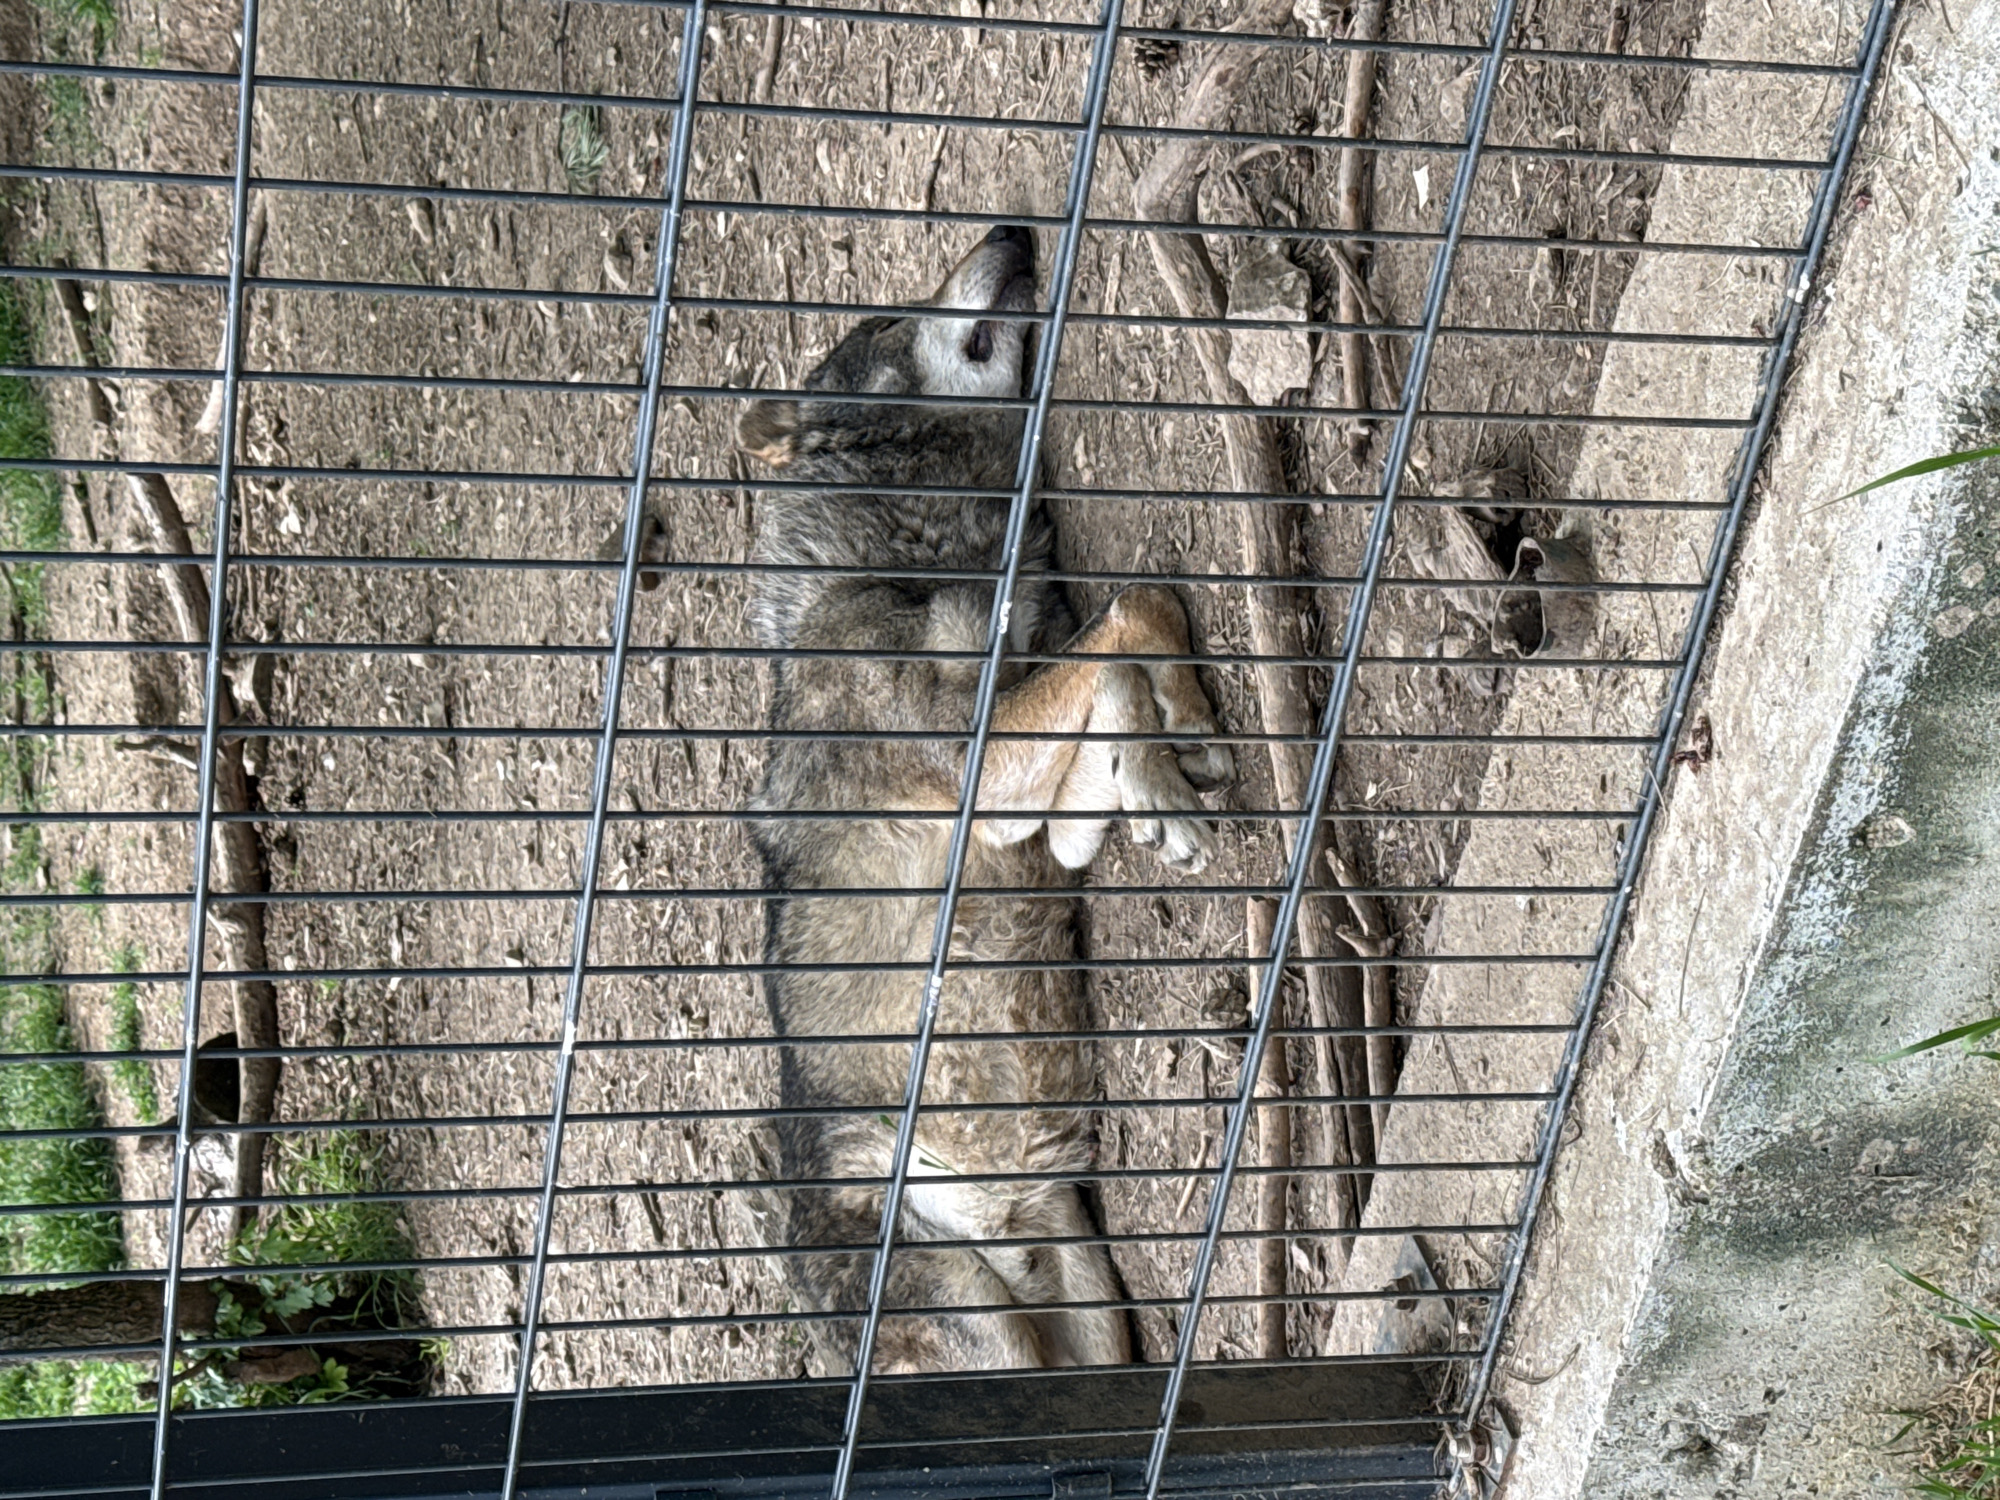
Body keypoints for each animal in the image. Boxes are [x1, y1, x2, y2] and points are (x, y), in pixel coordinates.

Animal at [735, 223, 1234, 1375]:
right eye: (882, 318)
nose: (1012, 228)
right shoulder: (974, 765)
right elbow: (1124, 630)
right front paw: (1159, 781)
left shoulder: (1026, 801)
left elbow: (1134, 621)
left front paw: (1169, 737)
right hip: (988, 1331)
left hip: (1088, 1316)